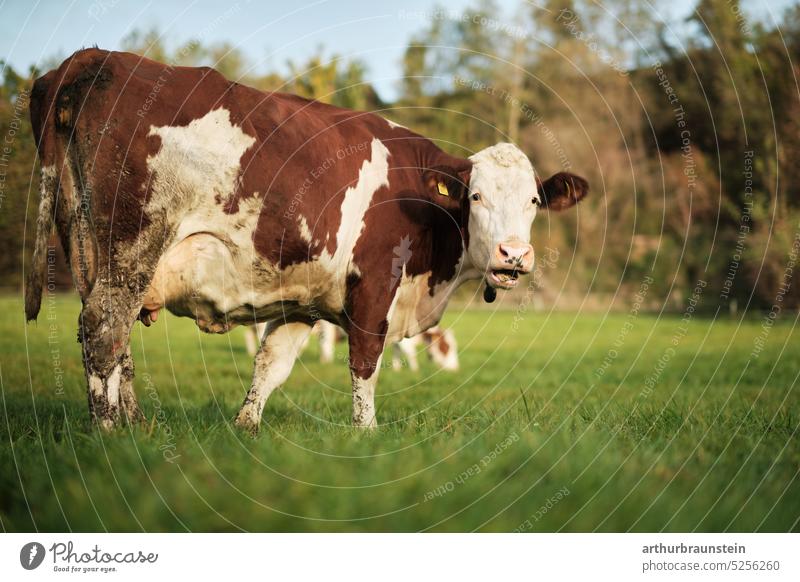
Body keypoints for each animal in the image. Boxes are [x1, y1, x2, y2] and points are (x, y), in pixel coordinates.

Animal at [26, 49, 588, 434]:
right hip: (133, 245)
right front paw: (366, 435)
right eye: (475, 196)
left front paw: (246, 426)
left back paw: (136, 425)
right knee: (103, 329)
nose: (513, 255)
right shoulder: (374, 286)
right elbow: (365, 362)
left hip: (90, 251)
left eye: (533, 201)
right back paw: (108, 432)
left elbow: (271, 365)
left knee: (114, 341)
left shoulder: (303, 301)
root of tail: (94, 58)